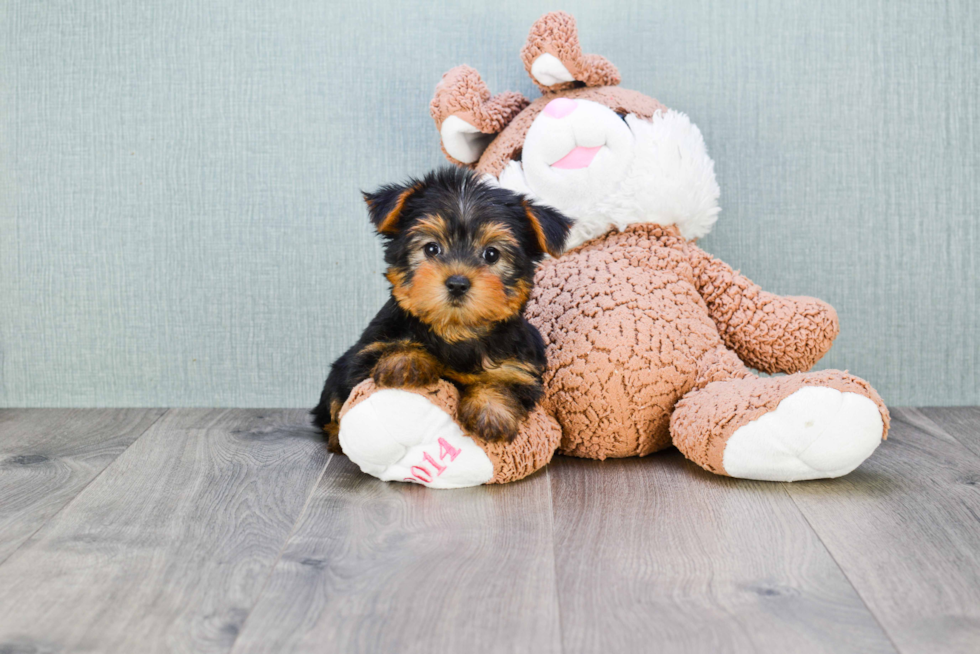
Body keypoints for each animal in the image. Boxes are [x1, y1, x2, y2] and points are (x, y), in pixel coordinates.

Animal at [312, 167, 576, 454]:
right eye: (431, 248)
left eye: (491, 254)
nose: (457, 283)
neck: (455, 330)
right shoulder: (366, 351)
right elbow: (386, 351)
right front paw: (405, 360)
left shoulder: (519, 369)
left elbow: (503, 383)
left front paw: (490, 412)